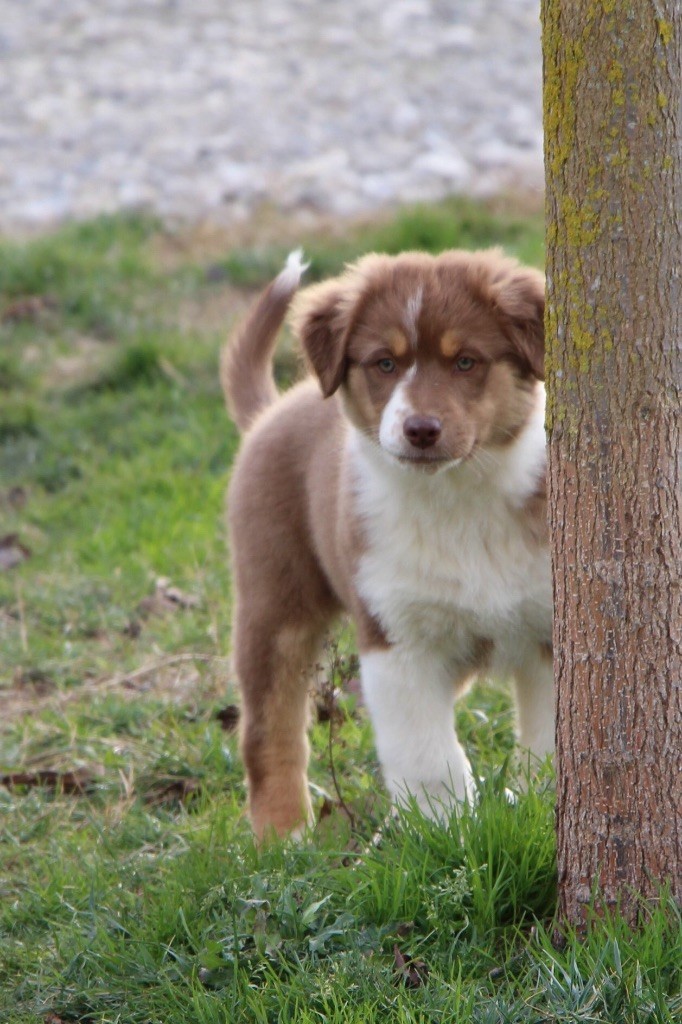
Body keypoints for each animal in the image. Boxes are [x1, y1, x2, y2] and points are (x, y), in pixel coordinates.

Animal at [223, 247, 552, 839]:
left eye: (465, 362)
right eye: (384, 364)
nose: (420, 429)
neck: (457, 500)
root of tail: (272, 411)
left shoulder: (550, 629)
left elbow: (549, 743)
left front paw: (540, 803)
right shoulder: (396, 637)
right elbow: (428, 760)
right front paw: (443, 835)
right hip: (274, 604)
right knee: (268, 729)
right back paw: (283, 837)